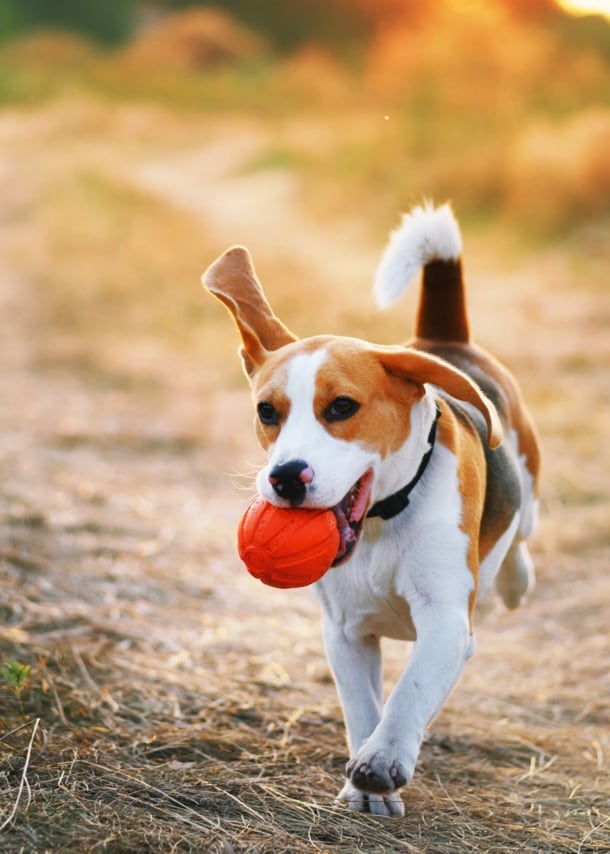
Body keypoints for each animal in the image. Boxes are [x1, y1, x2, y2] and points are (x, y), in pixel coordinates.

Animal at [202, 204, 540, 820]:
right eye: (267, 411)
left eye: (342, 407)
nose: (286, 477)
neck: (384, 520)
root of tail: (441, 340)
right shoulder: (344, 631)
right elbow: (363, 709)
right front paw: (363, 784)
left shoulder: (445, 620)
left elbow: (409, 692)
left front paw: (383, 761)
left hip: (526, 489)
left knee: (523, 536)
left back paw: (516, 579)